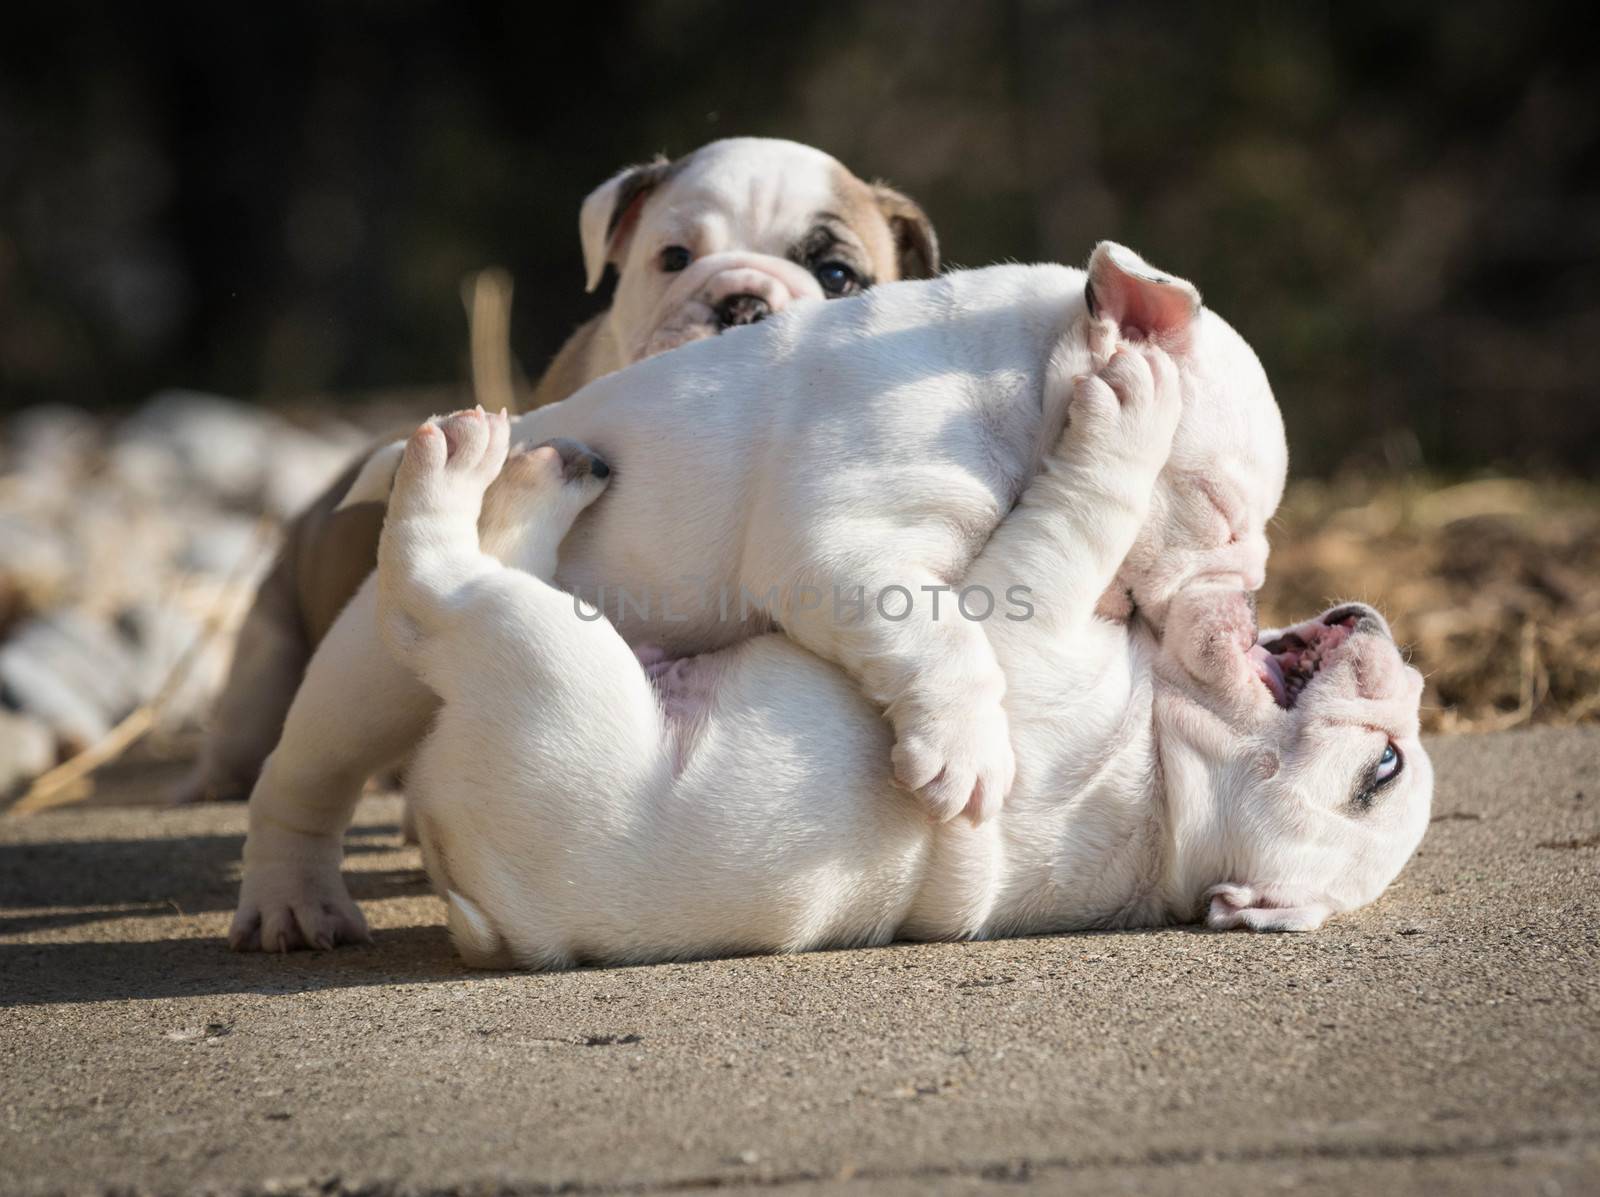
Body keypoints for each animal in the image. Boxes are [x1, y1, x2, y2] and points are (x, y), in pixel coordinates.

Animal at [232, 243, 1344, 953]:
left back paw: (534, 477)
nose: (1248, 605)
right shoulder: (848, 538)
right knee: (306, 772)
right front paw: (967, 752)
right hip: (365, 681)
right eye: (1219, 508)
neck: (1018, 386)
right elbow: (944, 638)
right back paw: (294, 900)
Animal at [380, 369, 1433, 966]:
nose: (1407, 670)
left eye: (1382, 769)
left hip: (550, 661)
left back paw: (468, 465)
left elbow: (1084, 512)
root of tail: (485, 910)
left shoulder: (1020, 613)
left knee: (441, 578)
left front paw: (1131, 412)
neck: (1176, 779)